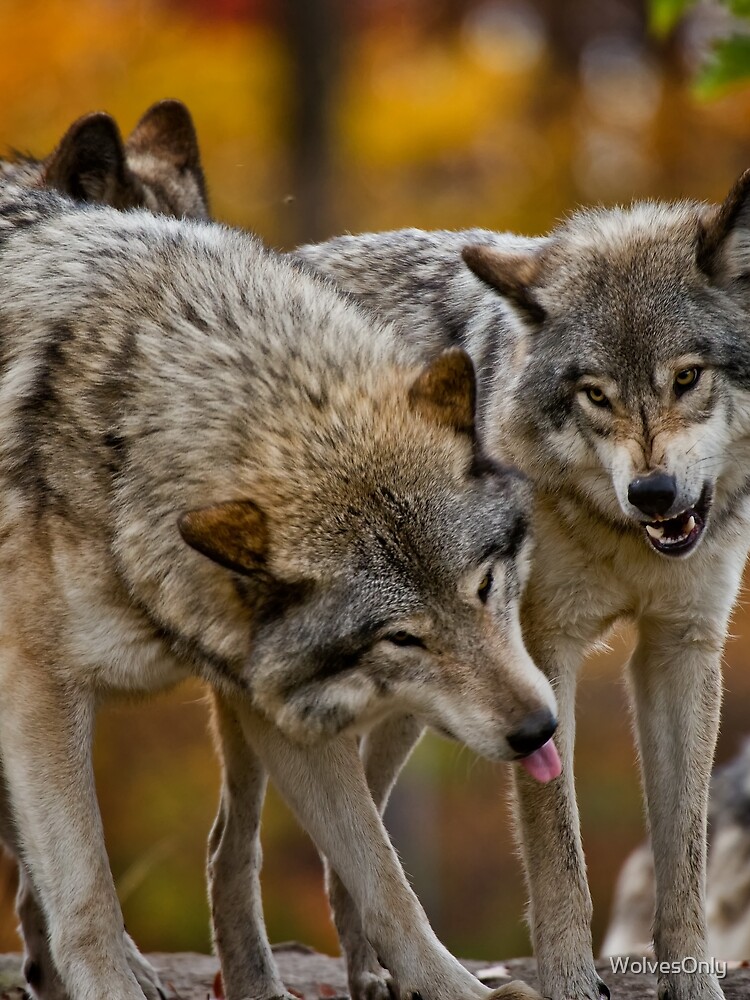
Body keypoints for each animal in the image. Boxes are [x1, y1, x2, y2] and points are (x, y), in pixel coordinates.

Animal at [0, 182, 561, 1000]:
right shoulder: (37, 689)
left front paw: (456, 989)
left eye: (485, 585)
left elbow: (385, 880)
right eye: (402, 637)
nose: (539, 730)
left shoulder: (280, 706)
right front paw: (108, 979)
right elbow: (87, 888)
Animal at [295, 172, 750, 1000]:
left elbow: (684, 860)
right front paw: (569, 981)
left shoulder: (681, 648)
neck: (621, 535)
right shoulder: (546, 653)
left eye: (687, 377)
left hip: (421, 704)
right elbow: (556, 851)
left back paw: (376, 973)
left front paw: (693, 985)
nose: (654, 494)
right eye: (595, 395)